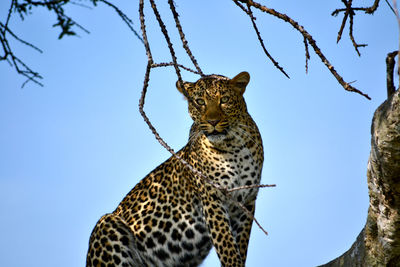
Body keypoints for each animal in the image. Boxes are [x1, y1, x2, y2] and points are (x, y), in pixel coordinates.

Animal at [86, 71, 264, 267]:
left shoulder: (247, 202)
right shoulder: (212, 199)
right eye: (199, 102)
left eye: (224, 99)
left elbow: (240, 245)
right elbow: (226, 246)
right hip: (107, 224)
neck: (233, 146)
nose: (213, 121)